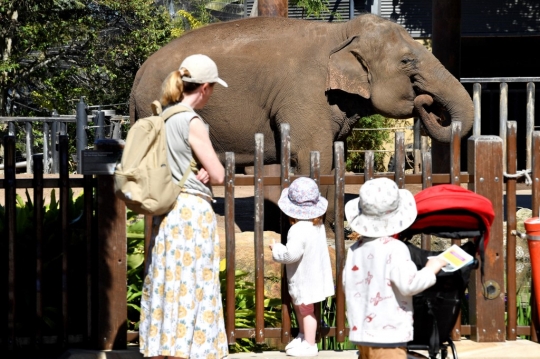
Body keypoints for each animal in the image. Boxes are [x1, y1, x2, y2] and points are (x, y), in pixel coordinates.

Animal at [130, 12, 472, 233]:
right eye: (407, 61)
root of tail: (138, 75)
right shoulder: (306, 93)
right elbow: (313, 157)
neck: (340, 33)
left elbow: (333, 158)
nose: (426, 101)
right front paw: (323, 232)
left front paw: (337, 231)